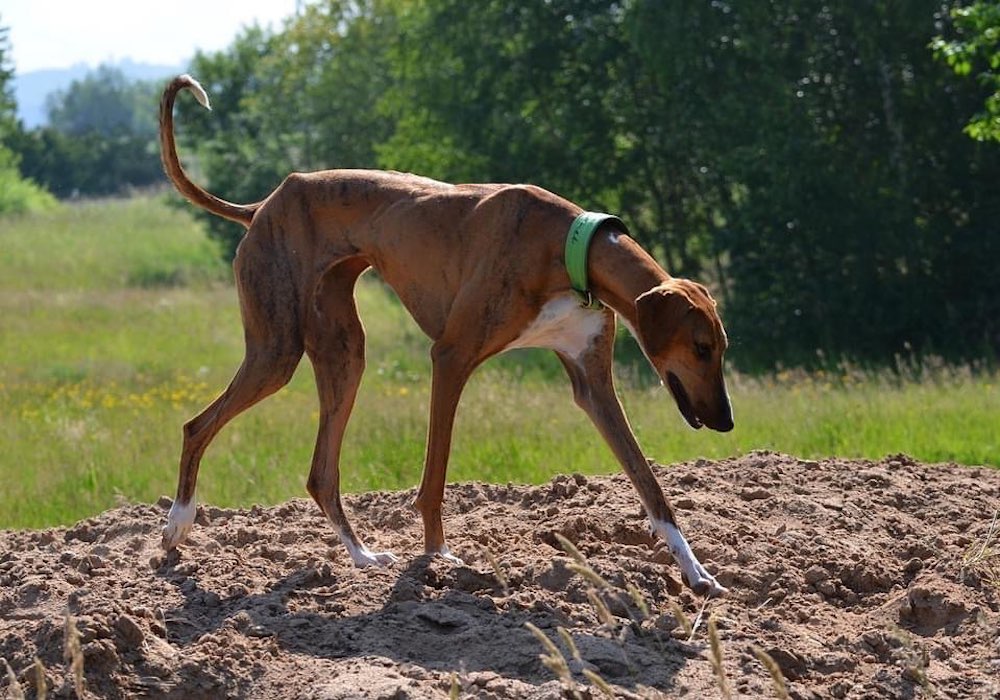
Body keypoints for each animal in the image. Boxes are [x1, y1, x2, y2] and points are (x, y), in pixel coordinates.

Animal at [158, 72, 736, 596]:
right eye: (701, 347)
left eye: (721, 349)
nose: (726, 422)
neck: (570, 248)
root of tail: (264, 205)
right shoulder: (451, 357)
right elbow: (434, 477)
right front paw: (439, 557)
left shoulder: (592, 383)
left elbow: (650, 485)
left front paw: (696, 573)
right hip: (276, 352)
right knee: (195, 426)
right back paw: (177, 526)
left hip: (345, 354)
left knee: (320, 473)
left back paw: (362, 556)